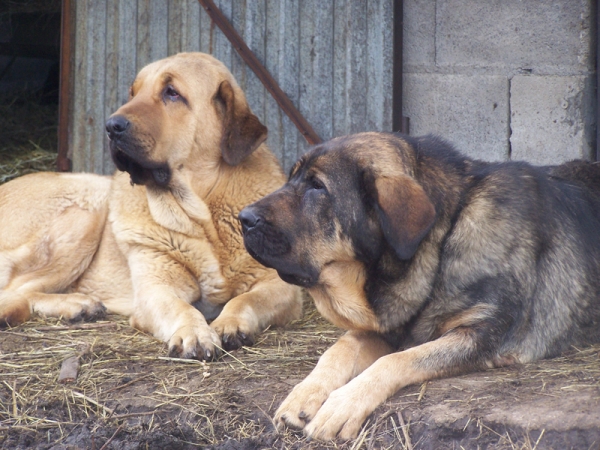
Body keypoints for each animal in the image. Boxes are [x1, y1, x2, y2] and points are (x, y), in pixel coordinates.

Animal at [0, 51, 300, 358]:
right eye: (134, 92)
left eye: (172, 92)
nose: (111, 126)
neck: (202, 213)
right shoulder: (156, 288)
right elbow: (182, 308)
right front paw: (194, 333)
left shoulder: (280, 285)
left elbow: (246, 300)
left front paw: (230, 323)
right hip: (88, 206)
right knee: (15, 289)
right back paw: (74, 305)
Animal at [239, 132, 600, 442]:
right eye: (292, 178)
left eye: (317, 187)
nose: (243, 218)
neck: (443, 241)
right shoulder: (387, 326)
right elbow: (339, 349)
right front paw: (304, 394)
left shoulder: (482, 335)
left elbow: (396, 360)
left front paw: (342, 404)